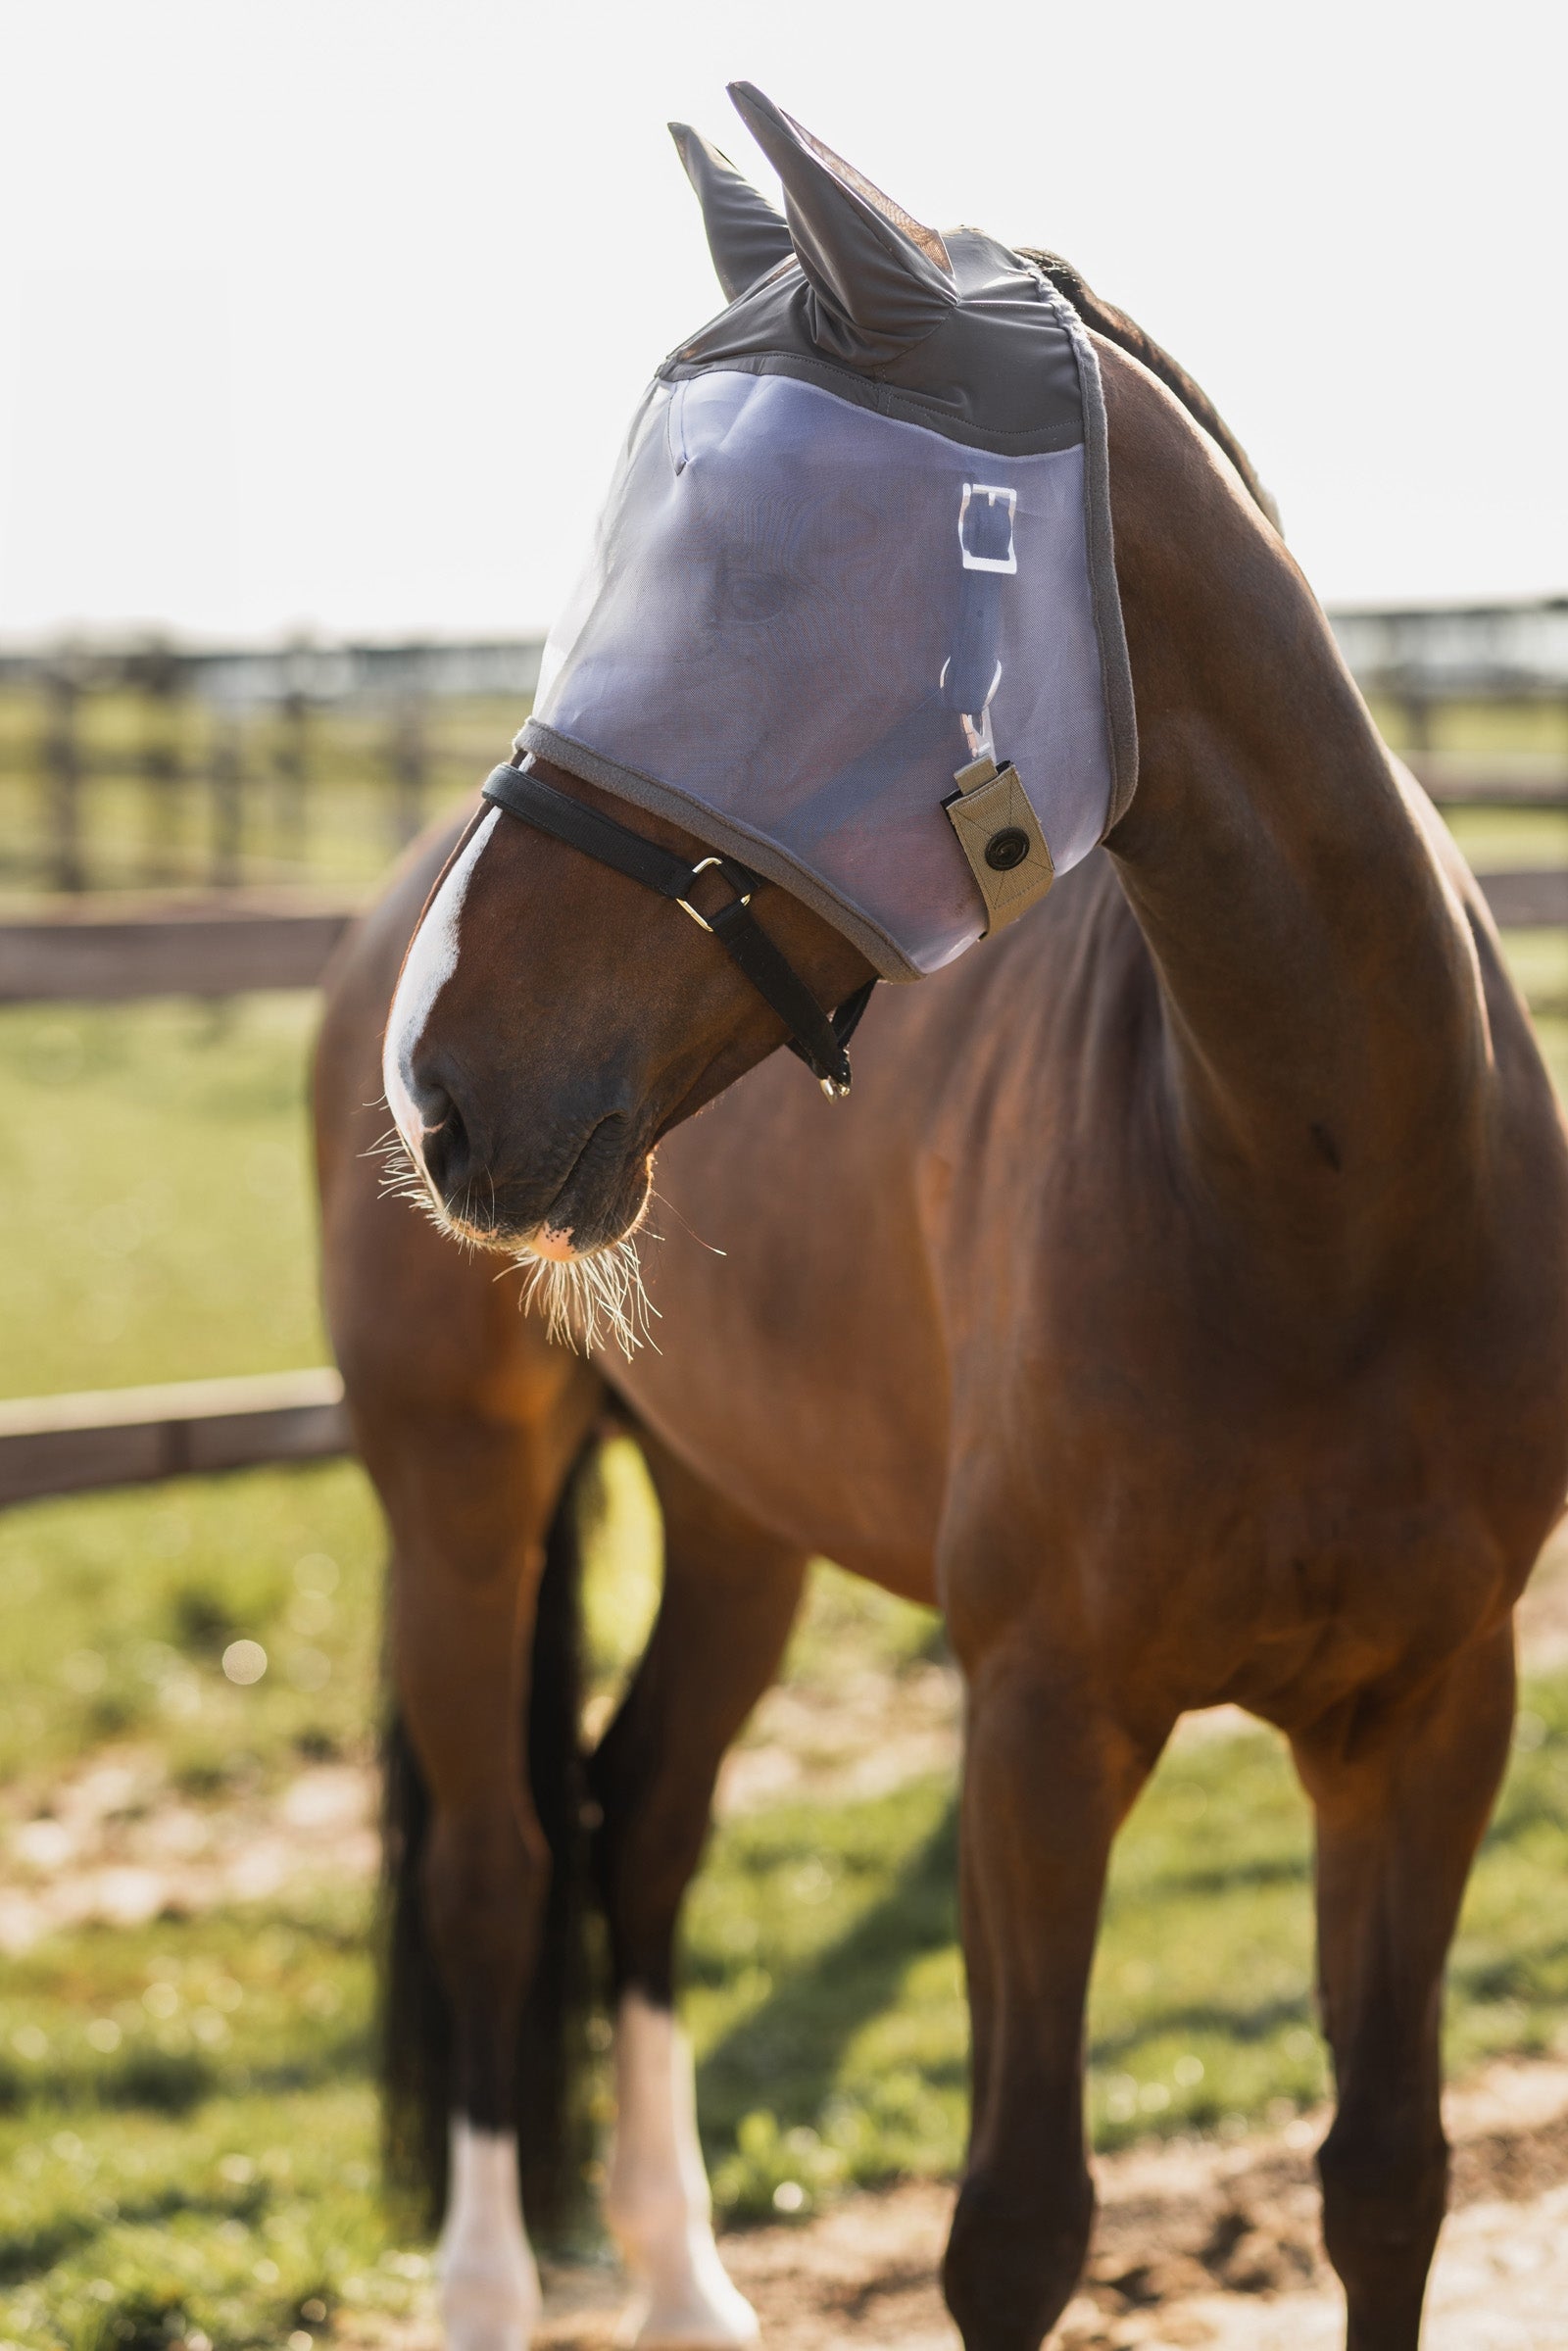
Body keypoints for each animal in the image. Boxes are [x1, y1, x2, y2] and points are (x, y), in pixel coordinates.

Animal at [314, 83, 1568, 2351]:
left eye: (764, 576)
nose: (443, 1081)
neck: (1320, 1195)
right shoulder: (1041, 1729)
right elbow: (1017, 2222)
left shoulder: (1424, 1721)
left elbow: (1384, 2178)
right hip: (460, 1496)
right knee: (494, 1867)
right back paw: (488, 2287)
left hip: (732, 1514)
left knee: (639, 1822)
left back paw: (684, 2275)